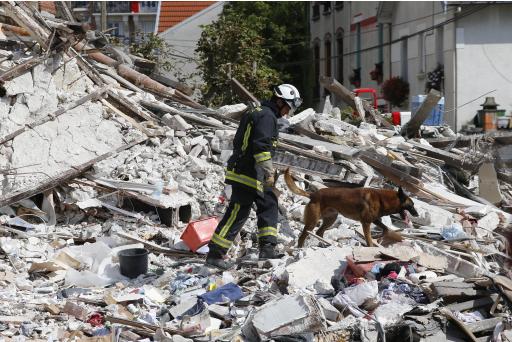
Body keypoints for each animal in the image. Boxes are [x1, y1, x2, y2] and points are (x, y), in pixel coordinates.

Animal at [284, 169, 420, 247]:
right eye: (411, 205)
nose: (417, 215)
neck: (383, 199)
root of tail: (313, 194)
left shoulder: (374, 220)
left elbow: (385, 229)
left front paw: (381, 237)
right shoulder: (366, 223)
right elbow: (369, 238)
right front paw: (372, 245)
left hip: (331, 218)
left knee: (319, 232)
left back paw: (324, 244)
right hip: (313, 221)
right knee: (304, 235)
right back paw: (300, 248)